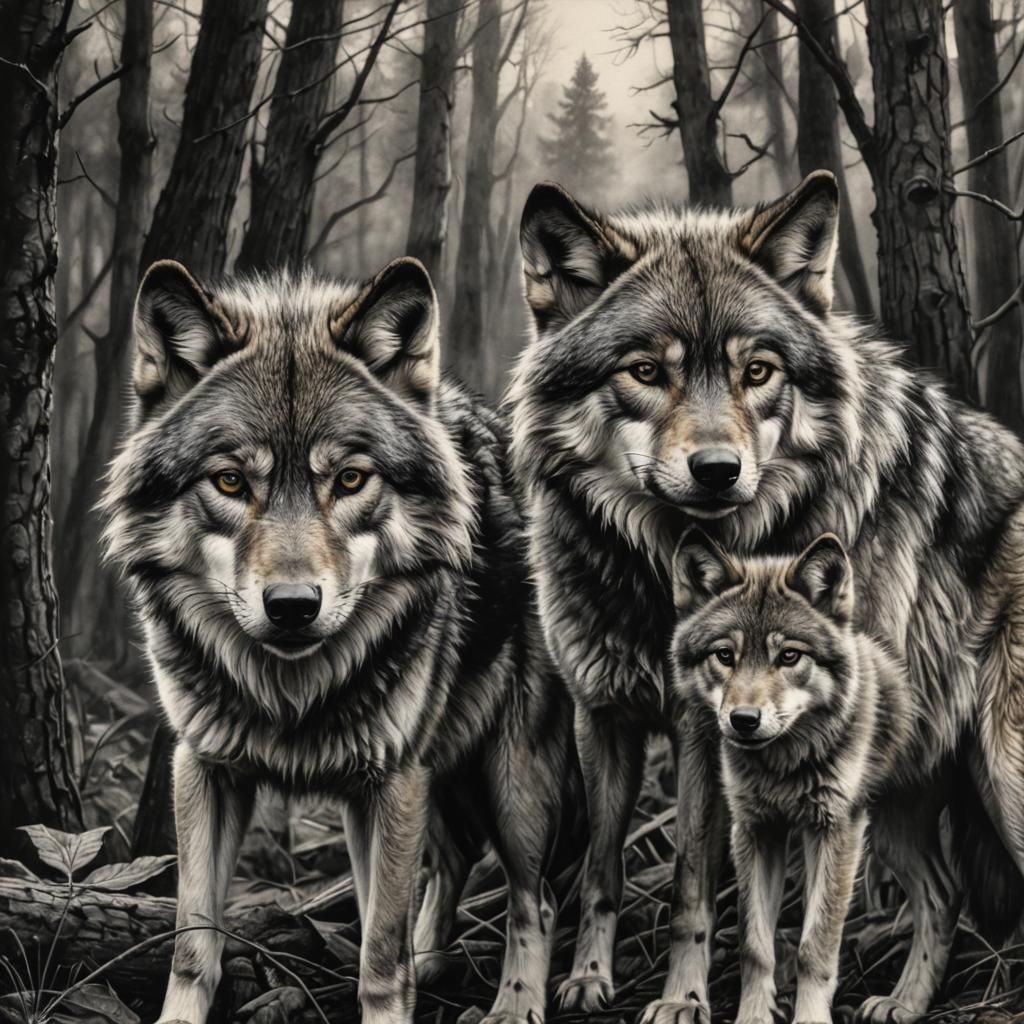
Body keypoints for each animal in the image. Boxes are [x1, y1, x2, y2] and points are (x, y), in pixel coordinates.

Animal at [101, 257, 571, 1024]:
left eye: (350, 479)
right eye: (230, 481)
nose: (293, 607)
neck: (293, 692)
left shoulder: (392, 778)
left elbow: (377, 958)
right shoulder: (205, 769)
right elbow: (194, 943)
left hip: (513, 777)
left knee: (537, 898)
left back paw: (514, 1003)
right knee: (451, 859)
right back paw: (432, 960)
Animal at [671, 530, 921, 1024]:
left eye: (788, 656)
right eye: (724, 656)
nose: (744, 720)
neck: (783, 765)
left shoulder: (836, 830)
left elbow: (814, 947)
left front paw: (809, 1018)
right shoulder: (755, 830)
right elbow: (755, 947)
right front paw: (752, 1016)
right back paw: (905, 1003)